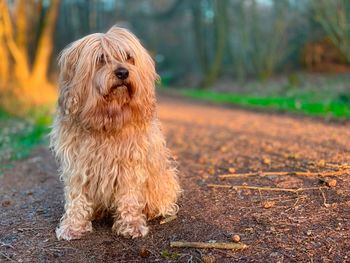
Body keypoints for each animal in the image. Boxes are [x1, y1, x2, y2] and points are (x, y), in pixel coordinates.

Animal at [50, 26, 182, 241]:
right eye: (101, 58)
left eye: (129, 57)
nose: (122, 72)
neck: (107, 119)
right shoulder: (78, 165)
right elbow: (77, 197)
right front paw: (73, 225)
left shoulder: (130, 164)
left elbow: (129, 197)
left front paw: (131, 225)